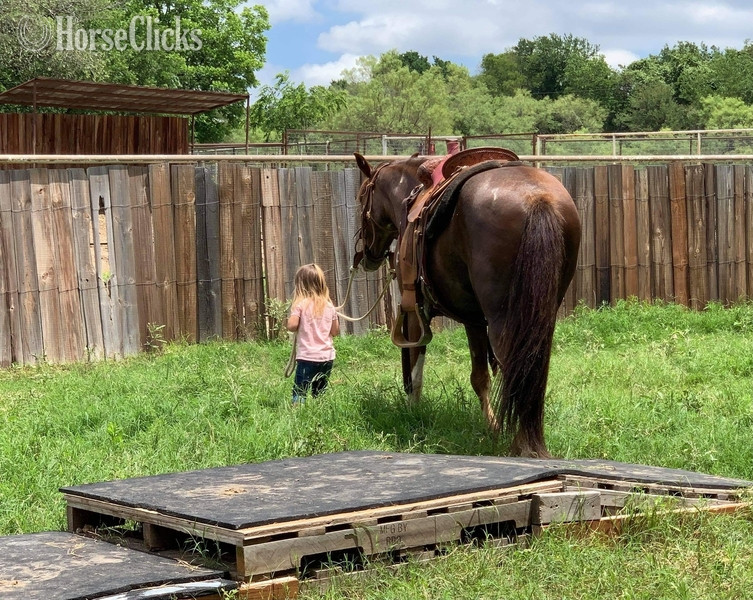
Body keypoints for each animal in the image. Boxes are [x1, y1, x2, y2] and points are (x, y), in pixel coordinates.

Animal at [353, 151, 581, 457]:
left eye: (362, 196)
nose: (367, 255)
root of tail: (537, 198)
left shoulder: (422, 310)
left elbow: (420, 365)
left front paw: (414, 411)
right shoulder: (472, 318)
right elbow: (479, 376)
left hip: (504, 321)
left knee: (515, 369)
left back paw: (520, 444)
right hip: (541, 317)